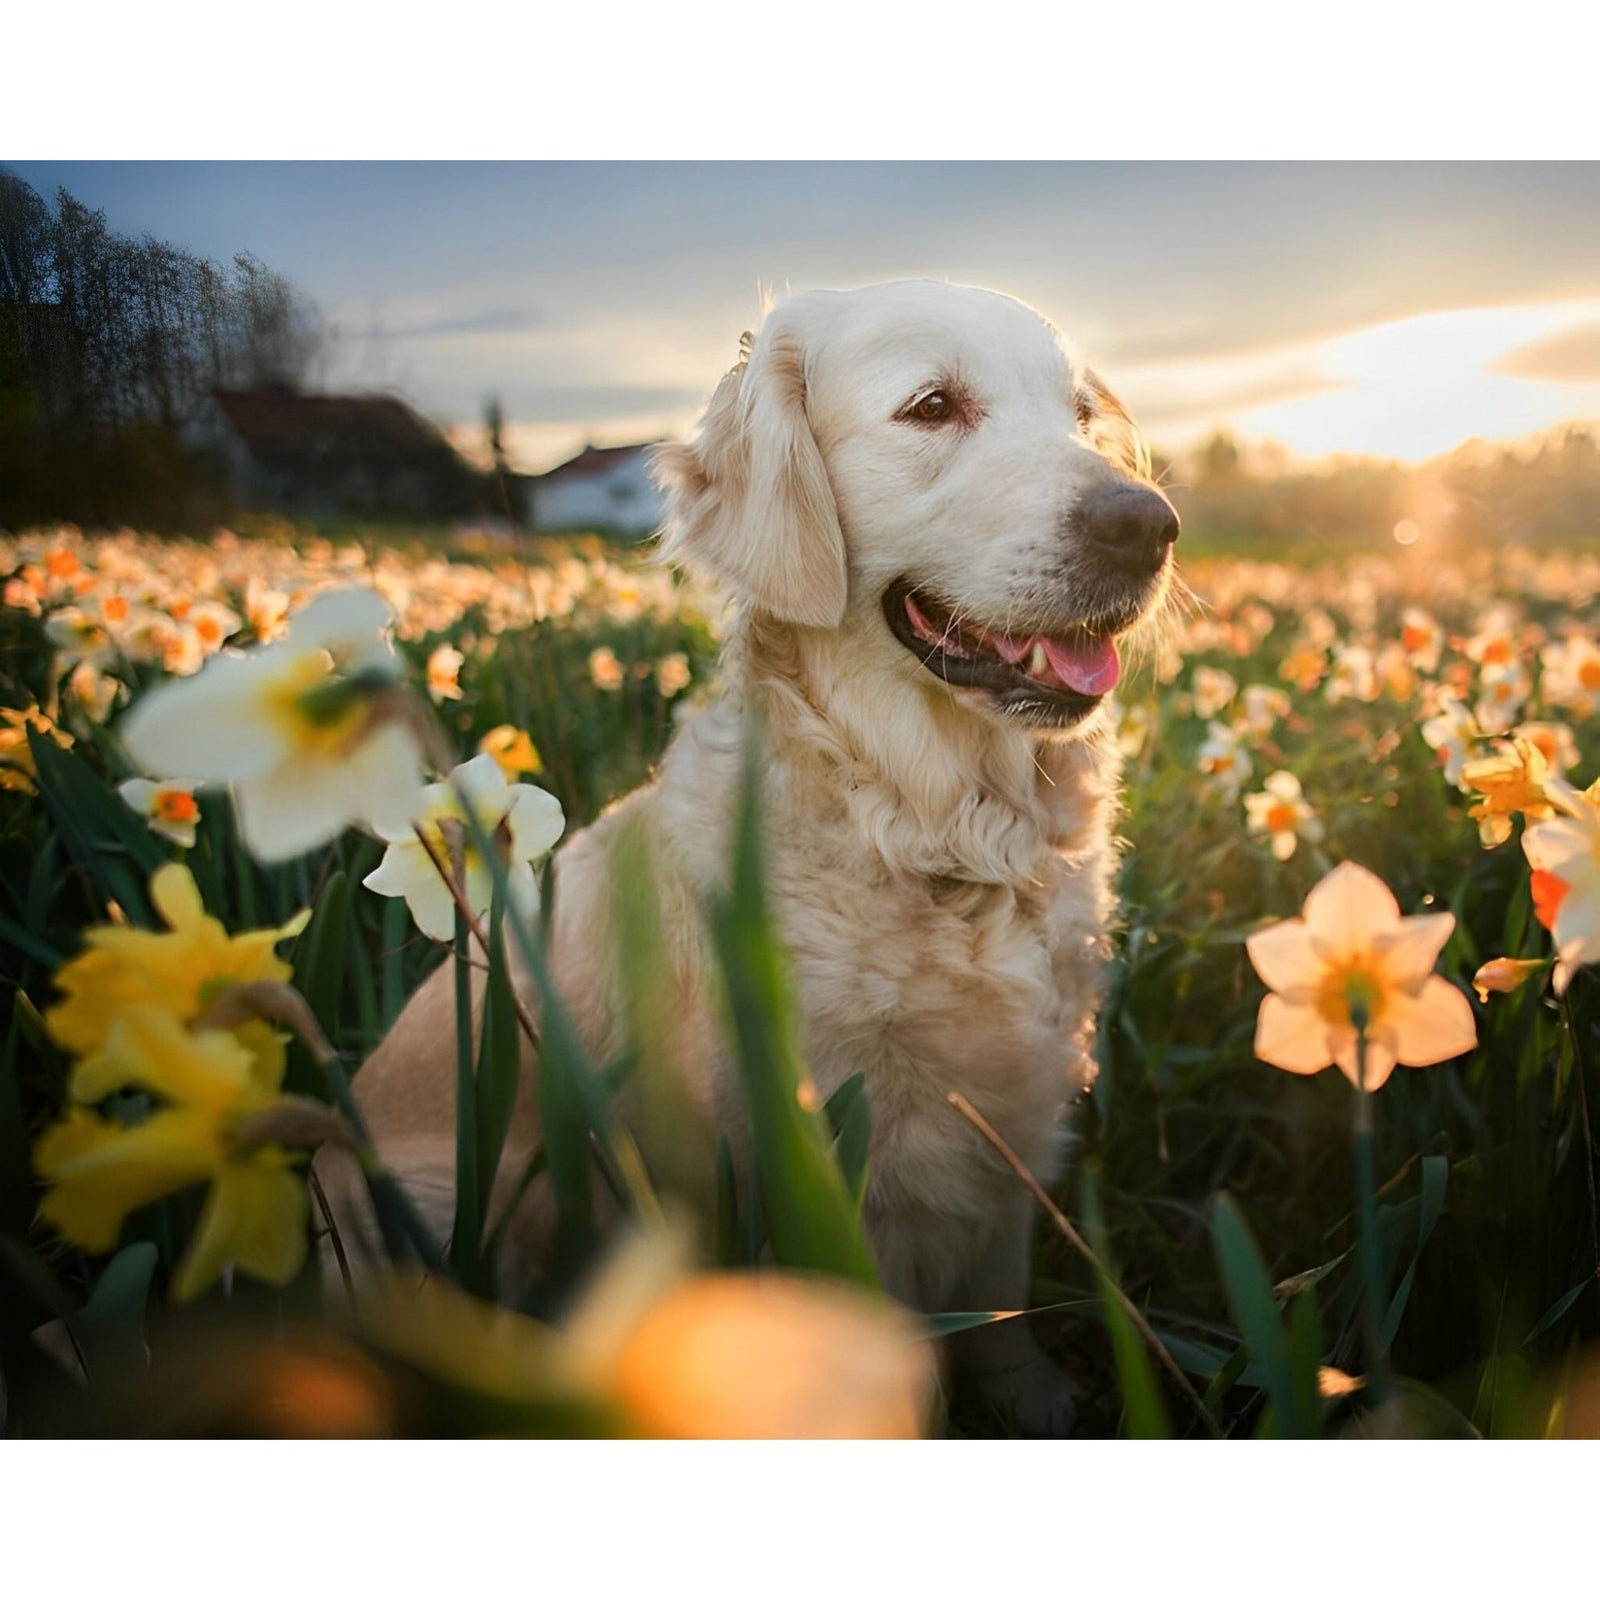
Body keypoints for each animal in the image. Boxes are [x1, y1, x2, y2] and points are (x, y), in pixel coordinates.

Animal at [337, 278, 1177, 1440]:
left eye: (1080, 416)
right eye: (932, 407)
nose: (1150, 527)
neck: (933, 833)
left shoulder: (1011, 1122)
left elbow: (1002, 1307)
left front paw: (1041, 1402)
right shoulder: (809, 1167)